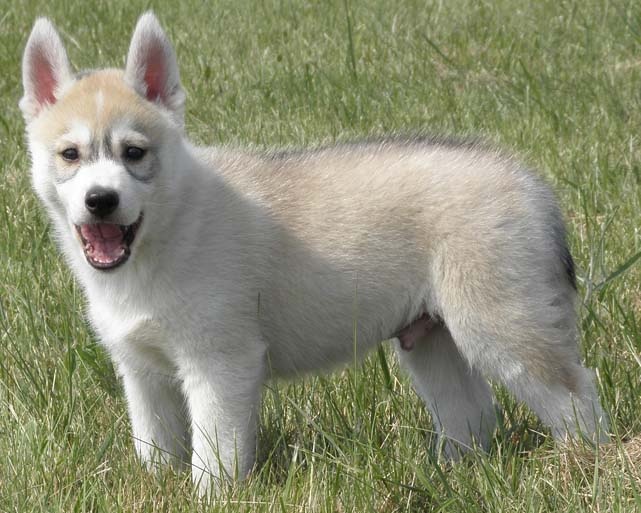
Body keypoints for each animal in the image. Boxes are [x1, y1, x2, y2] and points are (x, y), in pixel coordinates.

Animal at [20, 12, 608, 494]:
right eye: (70, 155)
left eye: (134, 153)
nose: (101, 200)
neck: (164, 234)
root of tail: (528, 181)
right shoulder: (142, 373)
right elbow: (155, 450)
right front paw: (157, 488)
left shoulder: (220, 364)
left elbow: (215, 455)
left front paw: (211, 498)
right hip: (432, 339)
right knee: (472, 412)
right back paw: (453, 473)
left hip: (502, 328)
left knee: (576, 395)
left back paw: (586, 468)